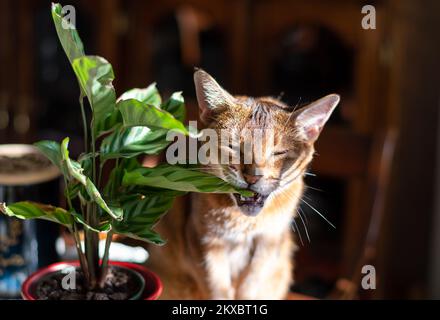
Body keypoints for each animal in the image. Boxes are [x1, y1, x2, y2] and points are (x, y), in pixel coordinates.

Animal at [146, 69, 338, 298]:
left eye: (278, 152)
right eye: (233, 146)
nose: (252, 177)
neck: (245, 223)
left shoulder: (268, 243)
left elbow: (251, 285)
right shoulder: (204, 241)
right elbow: (216, 289)